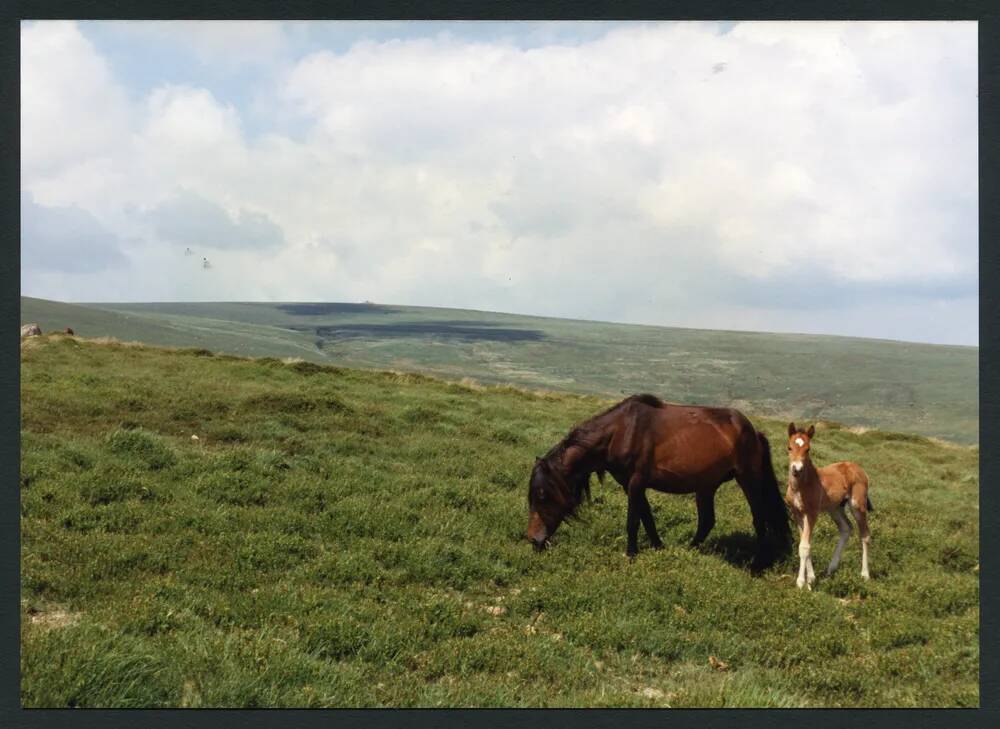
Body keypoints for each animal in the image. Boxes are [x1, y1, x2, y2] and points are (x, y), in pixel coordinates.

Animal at [528, 392, 792, 568]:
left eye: (542, 495)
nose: (533, 539)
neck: (621, 431)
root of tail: (754, 432)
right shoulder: (631, 485)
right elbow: (647, 517)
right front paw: (658, 546)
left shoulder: (636, 481)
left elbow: (633, 521)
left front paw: (631, 554)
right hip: (706, 485)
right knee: (707, 521)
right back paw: (690, 549)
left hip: (748, 479)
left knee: (759, 518)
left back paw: (757, 564)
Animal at [784, 424, 872, 588]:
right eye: (789, 447)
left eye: (808, 449)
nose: (796, 469)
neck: (802, 485)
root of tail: (858, 468)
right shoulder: (797, 513)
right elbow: (804, 543)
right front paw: (811, 578)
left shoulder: (812, 513)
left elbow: (805, 546)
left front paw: (801, 582)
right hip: (835, 508)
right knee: (846, 528)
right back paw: (831, 568)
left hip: (857, 505)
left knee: (865, 535)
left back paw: (865, 574)